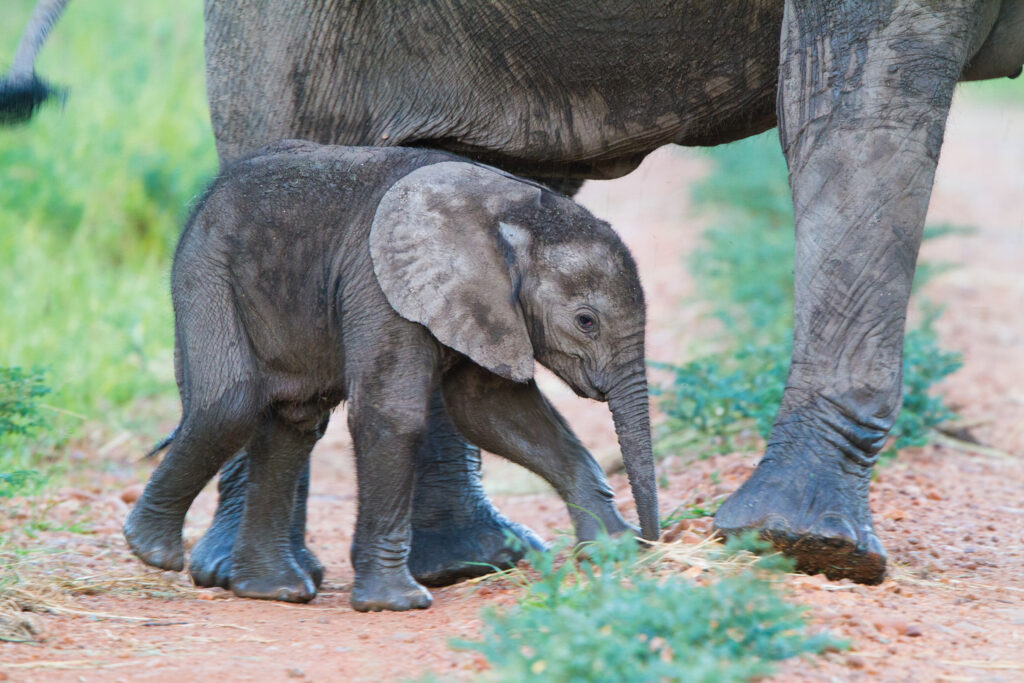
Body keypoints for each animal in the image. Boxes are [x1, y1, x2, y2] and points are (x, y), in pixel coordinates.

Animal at [121, 140, 659, 609]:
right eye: (586, 321)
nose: (652, 542)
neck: (510, 208)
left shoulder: (480, 305)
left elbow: (493, 412)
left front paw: (612, 549)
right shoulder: (379, 283)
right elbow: (393, 413)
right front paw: (397, 604)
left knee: (294, 423)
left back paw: (272, 591)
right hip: (207, 269)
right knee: (229, 404)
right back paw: (151, 550)